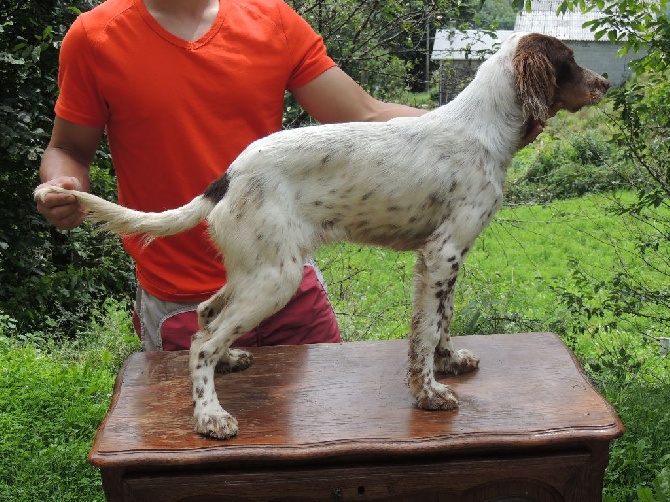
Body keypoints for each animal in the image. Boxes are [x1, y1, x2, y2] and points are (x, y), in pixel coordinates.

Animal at [35, 32, 608, 440]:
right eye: (569, 60)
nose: (605, 82)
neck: (483, 128)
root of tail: (229, 176)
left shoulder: (450, 258)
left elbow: (442, 320)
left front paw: (450, 361)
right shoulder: (440, 255)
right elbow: (423, 332)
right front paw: (428, 392)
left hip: (257, 267)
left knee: (205, 312)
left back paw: (231, 362)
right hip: (276, 277)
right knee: (199, 343)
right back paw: (210, 416)